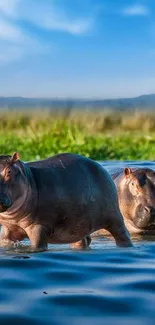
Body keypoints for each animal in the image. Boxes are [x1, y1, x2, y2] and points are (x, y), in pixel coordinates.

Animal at [0, 151, 132, 248]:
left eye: (9, 171)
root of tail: (102, 168)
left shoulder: (38, 228)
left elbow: (38, 246)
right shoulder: (8, 229)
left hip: (115, 218)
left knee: (123, 234)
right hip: (78, 226)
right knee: (82, 240)